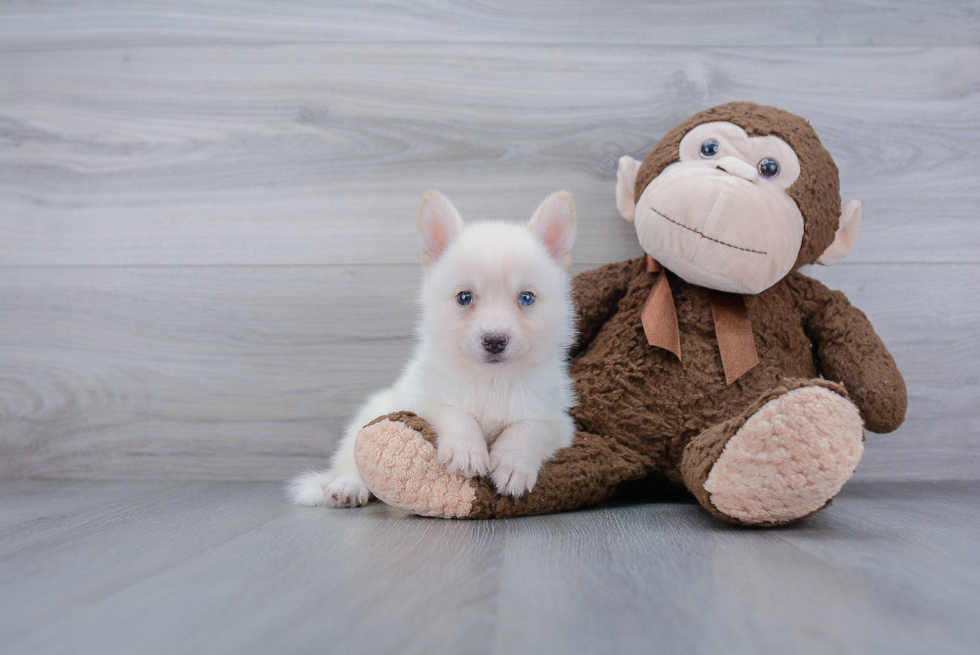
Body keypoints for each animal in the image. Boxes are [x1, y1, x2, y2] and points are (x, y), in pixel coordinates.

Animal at [290, 190, 580, 508]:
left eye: (526, 298)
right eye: (464, 297)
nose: (494, 340)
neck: (491, 380)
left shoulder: (557, 421)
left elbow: (528, 429)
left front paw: (513, 463)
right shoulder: (423, 401)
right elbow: (455, 413)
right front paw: (467, 449)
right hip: (370, 416)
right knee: (351, 464)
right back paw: (348, 487)